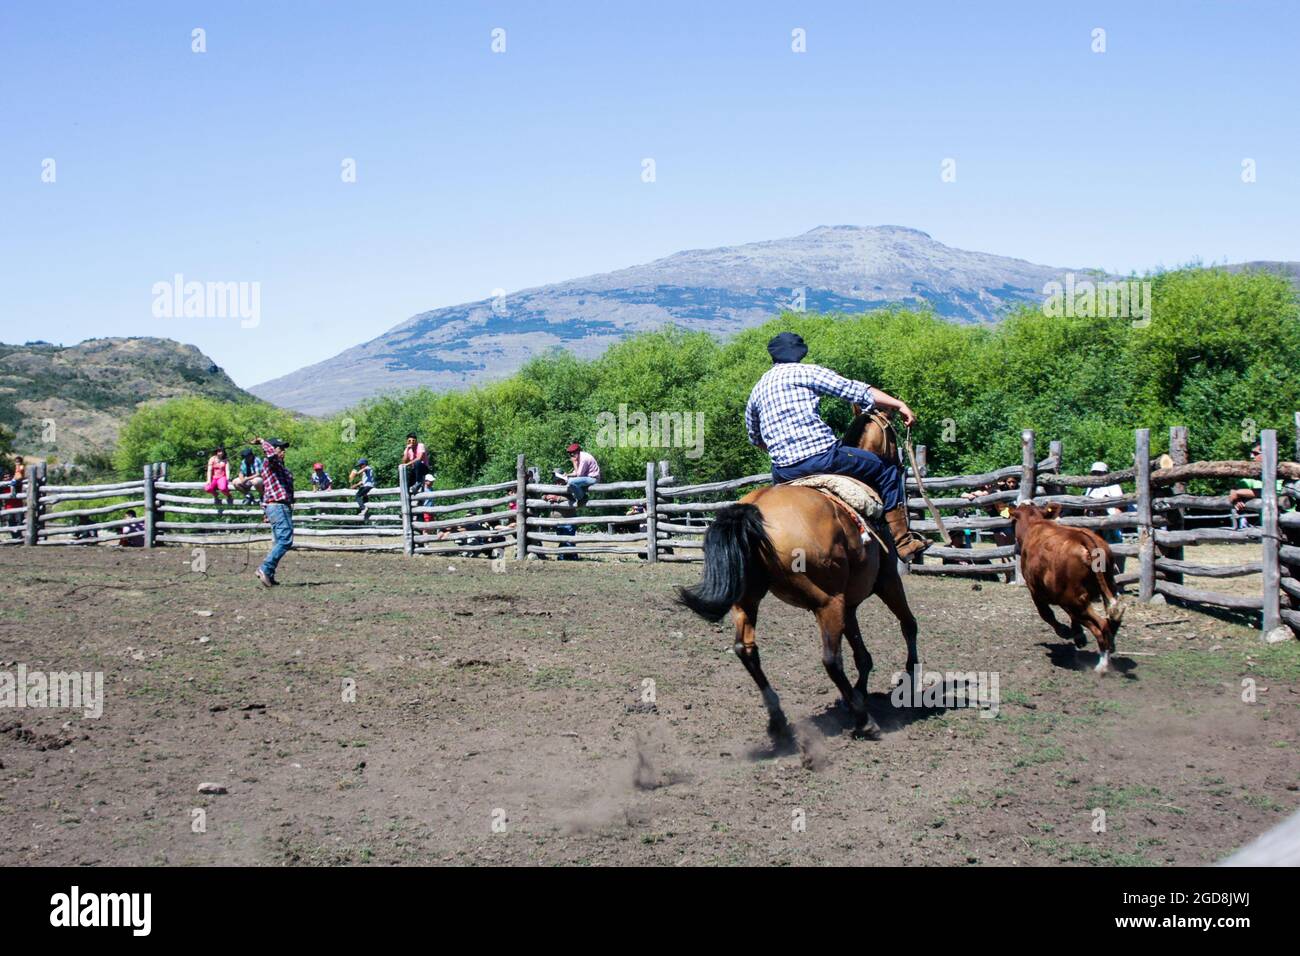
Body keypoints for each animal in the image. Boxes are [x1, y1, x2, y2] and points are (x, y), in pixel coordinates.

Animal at [676, 403, 920, 738]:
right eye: (893, 437)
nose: (899, 464)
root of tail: (756, 509)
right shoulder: (887, 581)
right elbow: (908, 624)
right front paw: (908, 679)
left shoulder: (850, 602)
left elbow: (863, 654)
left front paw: (860, 692)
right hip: (827, 601)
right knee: (831, 659)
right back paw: (864, 721)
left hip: (750, 599)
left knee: (746, 649)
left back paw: (778, 721)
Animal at [1008, 502, 1123, 671]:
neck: (1034, 524)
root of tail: (1082, 538)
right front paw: (1078, 636)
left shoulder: (1035, 591)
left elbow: (1046, 614)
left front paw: (1065, 631)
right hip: (1105, 586)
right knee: (1111, 619)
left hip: (1072, 599)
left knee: (1100, 625)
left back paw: (1102, 665)